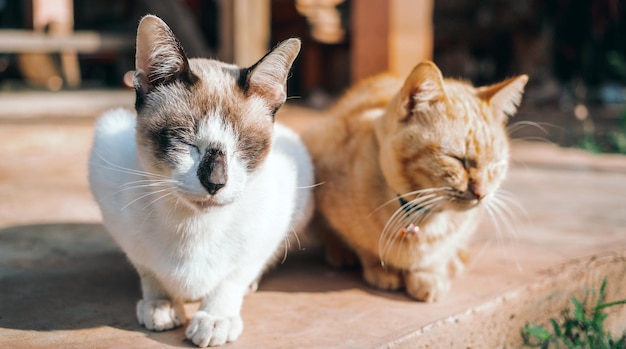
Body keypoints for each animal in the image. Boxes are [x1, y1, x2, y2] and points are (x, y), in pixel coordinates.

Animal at [88, 14, 312, 346]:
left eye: (243, 146)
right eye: (185, 142)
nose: (215, 183)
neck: (193, 227)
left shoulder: (268, 231)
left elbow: (233, 276)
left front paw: (215, 318)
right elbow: (148, 270)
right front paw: (162, 305)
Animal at [302, 61, 528, 300]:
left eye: (495, 164)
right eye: (457, 159)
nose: (482, 193)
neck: (423, 217)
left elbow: (438, 256)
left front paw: (429, 276)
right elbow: (363, 247)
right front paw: (381, 269)